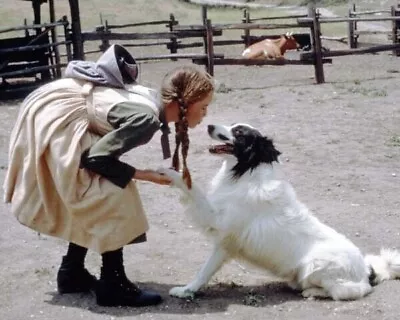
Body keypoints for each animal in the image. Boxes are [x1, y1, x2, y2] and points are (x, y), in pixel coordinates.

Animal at [158, 122, 398, 300]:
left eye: (239, 132)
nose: (209, 125)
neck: (246, 173)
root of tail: (367, 270)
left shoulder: (222, 232)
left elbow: (204, 270)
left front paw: (185, 291)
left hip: (316, 266)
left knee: (348, 291)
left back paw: (311, 291)